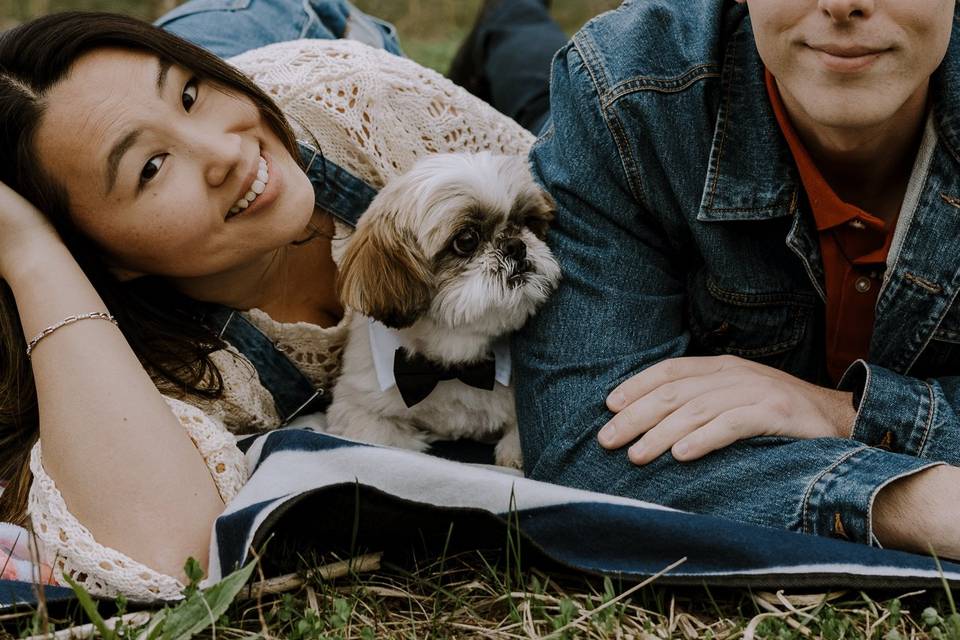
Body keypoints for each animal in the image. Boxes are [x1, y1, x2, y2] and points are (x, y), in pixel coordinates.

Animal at [326, 152, 560, 468]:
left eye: (529, 223)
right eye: (466, 240)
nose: (516, 245)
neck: (452, 362)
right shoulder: (357, 405)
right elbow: (382, 438)